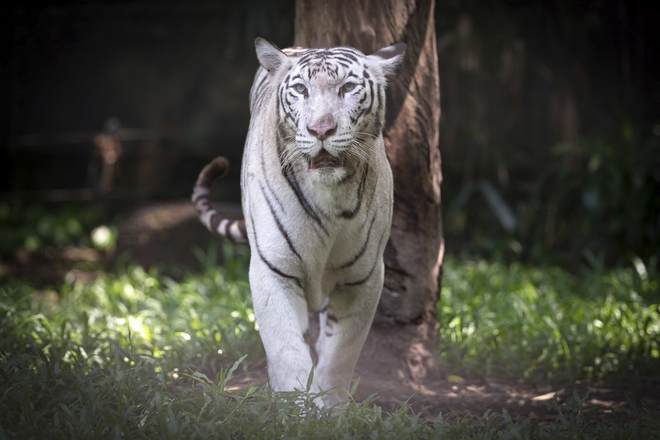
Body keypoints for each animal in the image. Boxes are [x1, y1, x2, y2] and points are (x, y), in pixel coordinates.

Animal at [191, 37, 404, 406]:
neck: (331, 195)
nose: (321, 130)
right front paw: (297, 410)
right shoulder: (273, 269)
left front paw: (331, 408)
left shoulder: (364, 277)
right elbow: (288, 351)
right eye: (301, 90)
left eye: (348, 88)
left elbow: (340, 355)